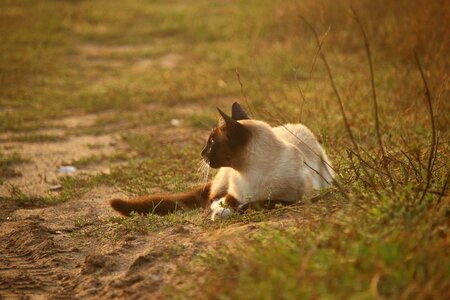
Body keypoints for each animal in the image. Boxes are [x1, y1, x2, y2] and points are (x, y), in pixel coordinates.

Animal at [109, 102, 334, 220]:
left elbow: (259, 203)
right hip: (221, 181)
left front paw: (230, 210)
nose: (201, 153)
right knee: (208, 198)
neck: (249, 173)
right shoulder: (232, 192)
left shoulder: (297, 199)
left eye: (211, 142)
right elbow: (226, 200)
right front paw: (221, 209)